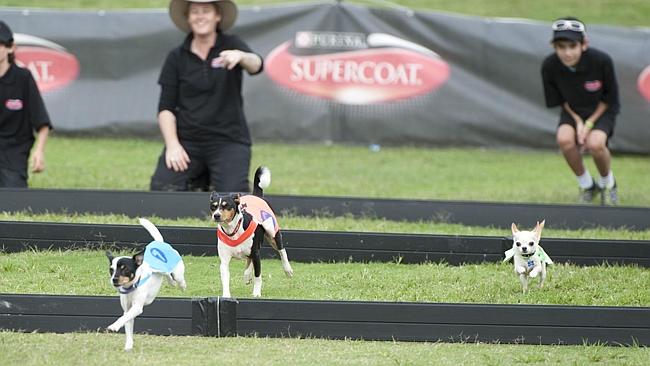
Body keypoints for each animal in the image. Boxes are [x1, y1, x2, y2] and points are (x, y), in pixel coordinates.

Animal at [104, 219, 185, 350]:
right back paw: (171, 282)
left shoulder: (137, 307)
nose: (114, 279)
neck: (132, 287)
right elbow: (127, 324)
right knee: (168, 276)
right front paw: (128, 346)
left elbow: (123, 318)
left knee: (179, 278)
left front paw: (114, 326)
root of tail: (159, 242)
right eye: (111, 270)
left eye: (125, 269)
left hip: (178, 271)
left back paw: (182, 285)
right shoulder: (128, 309)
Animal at [209, 166, 292, 298]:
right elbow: (225, 278)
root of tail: (256, 195)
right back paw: (247, 275)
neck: (233, 230)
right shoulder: (225, 259)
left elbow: (258, 276)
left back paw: (287, 269)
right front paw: (226, 295)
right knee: (249, 259)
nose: (216, 215)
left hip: (272, 233)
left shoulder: (256, 255)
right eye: (213, 206)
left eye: (226, 206)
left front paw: (256, 293)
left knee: (281, 250)